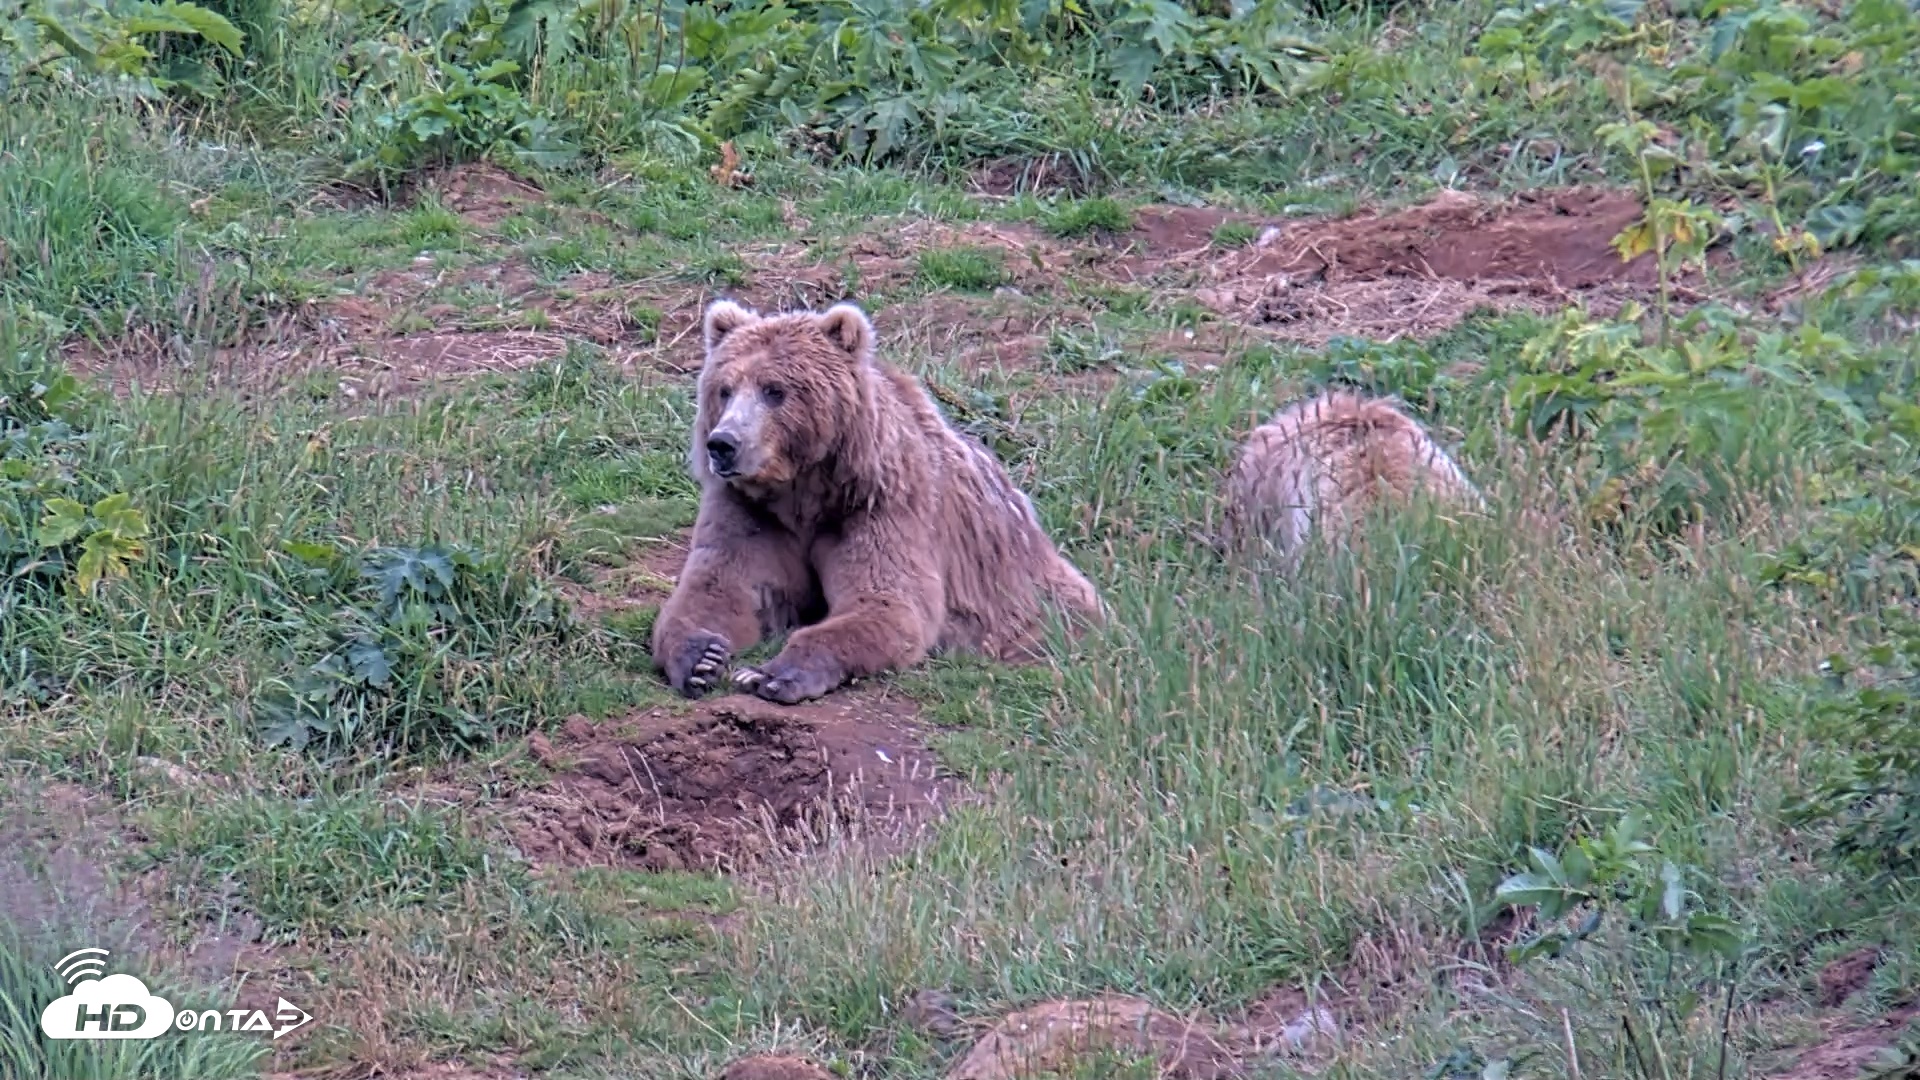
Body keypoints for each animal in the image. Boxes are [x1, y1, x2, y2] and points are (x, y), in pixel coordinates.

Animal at [649, 299, 1104, 705]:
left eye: (774, 390)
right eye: (724, 389)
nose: (723, 444)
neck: (803, 492)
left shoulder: (879, 507)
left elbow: (887, 604)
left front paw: (772, 673)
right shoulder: (750, 512)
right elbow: (719, 590)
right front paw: (702, 658)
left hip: (1033, 602)